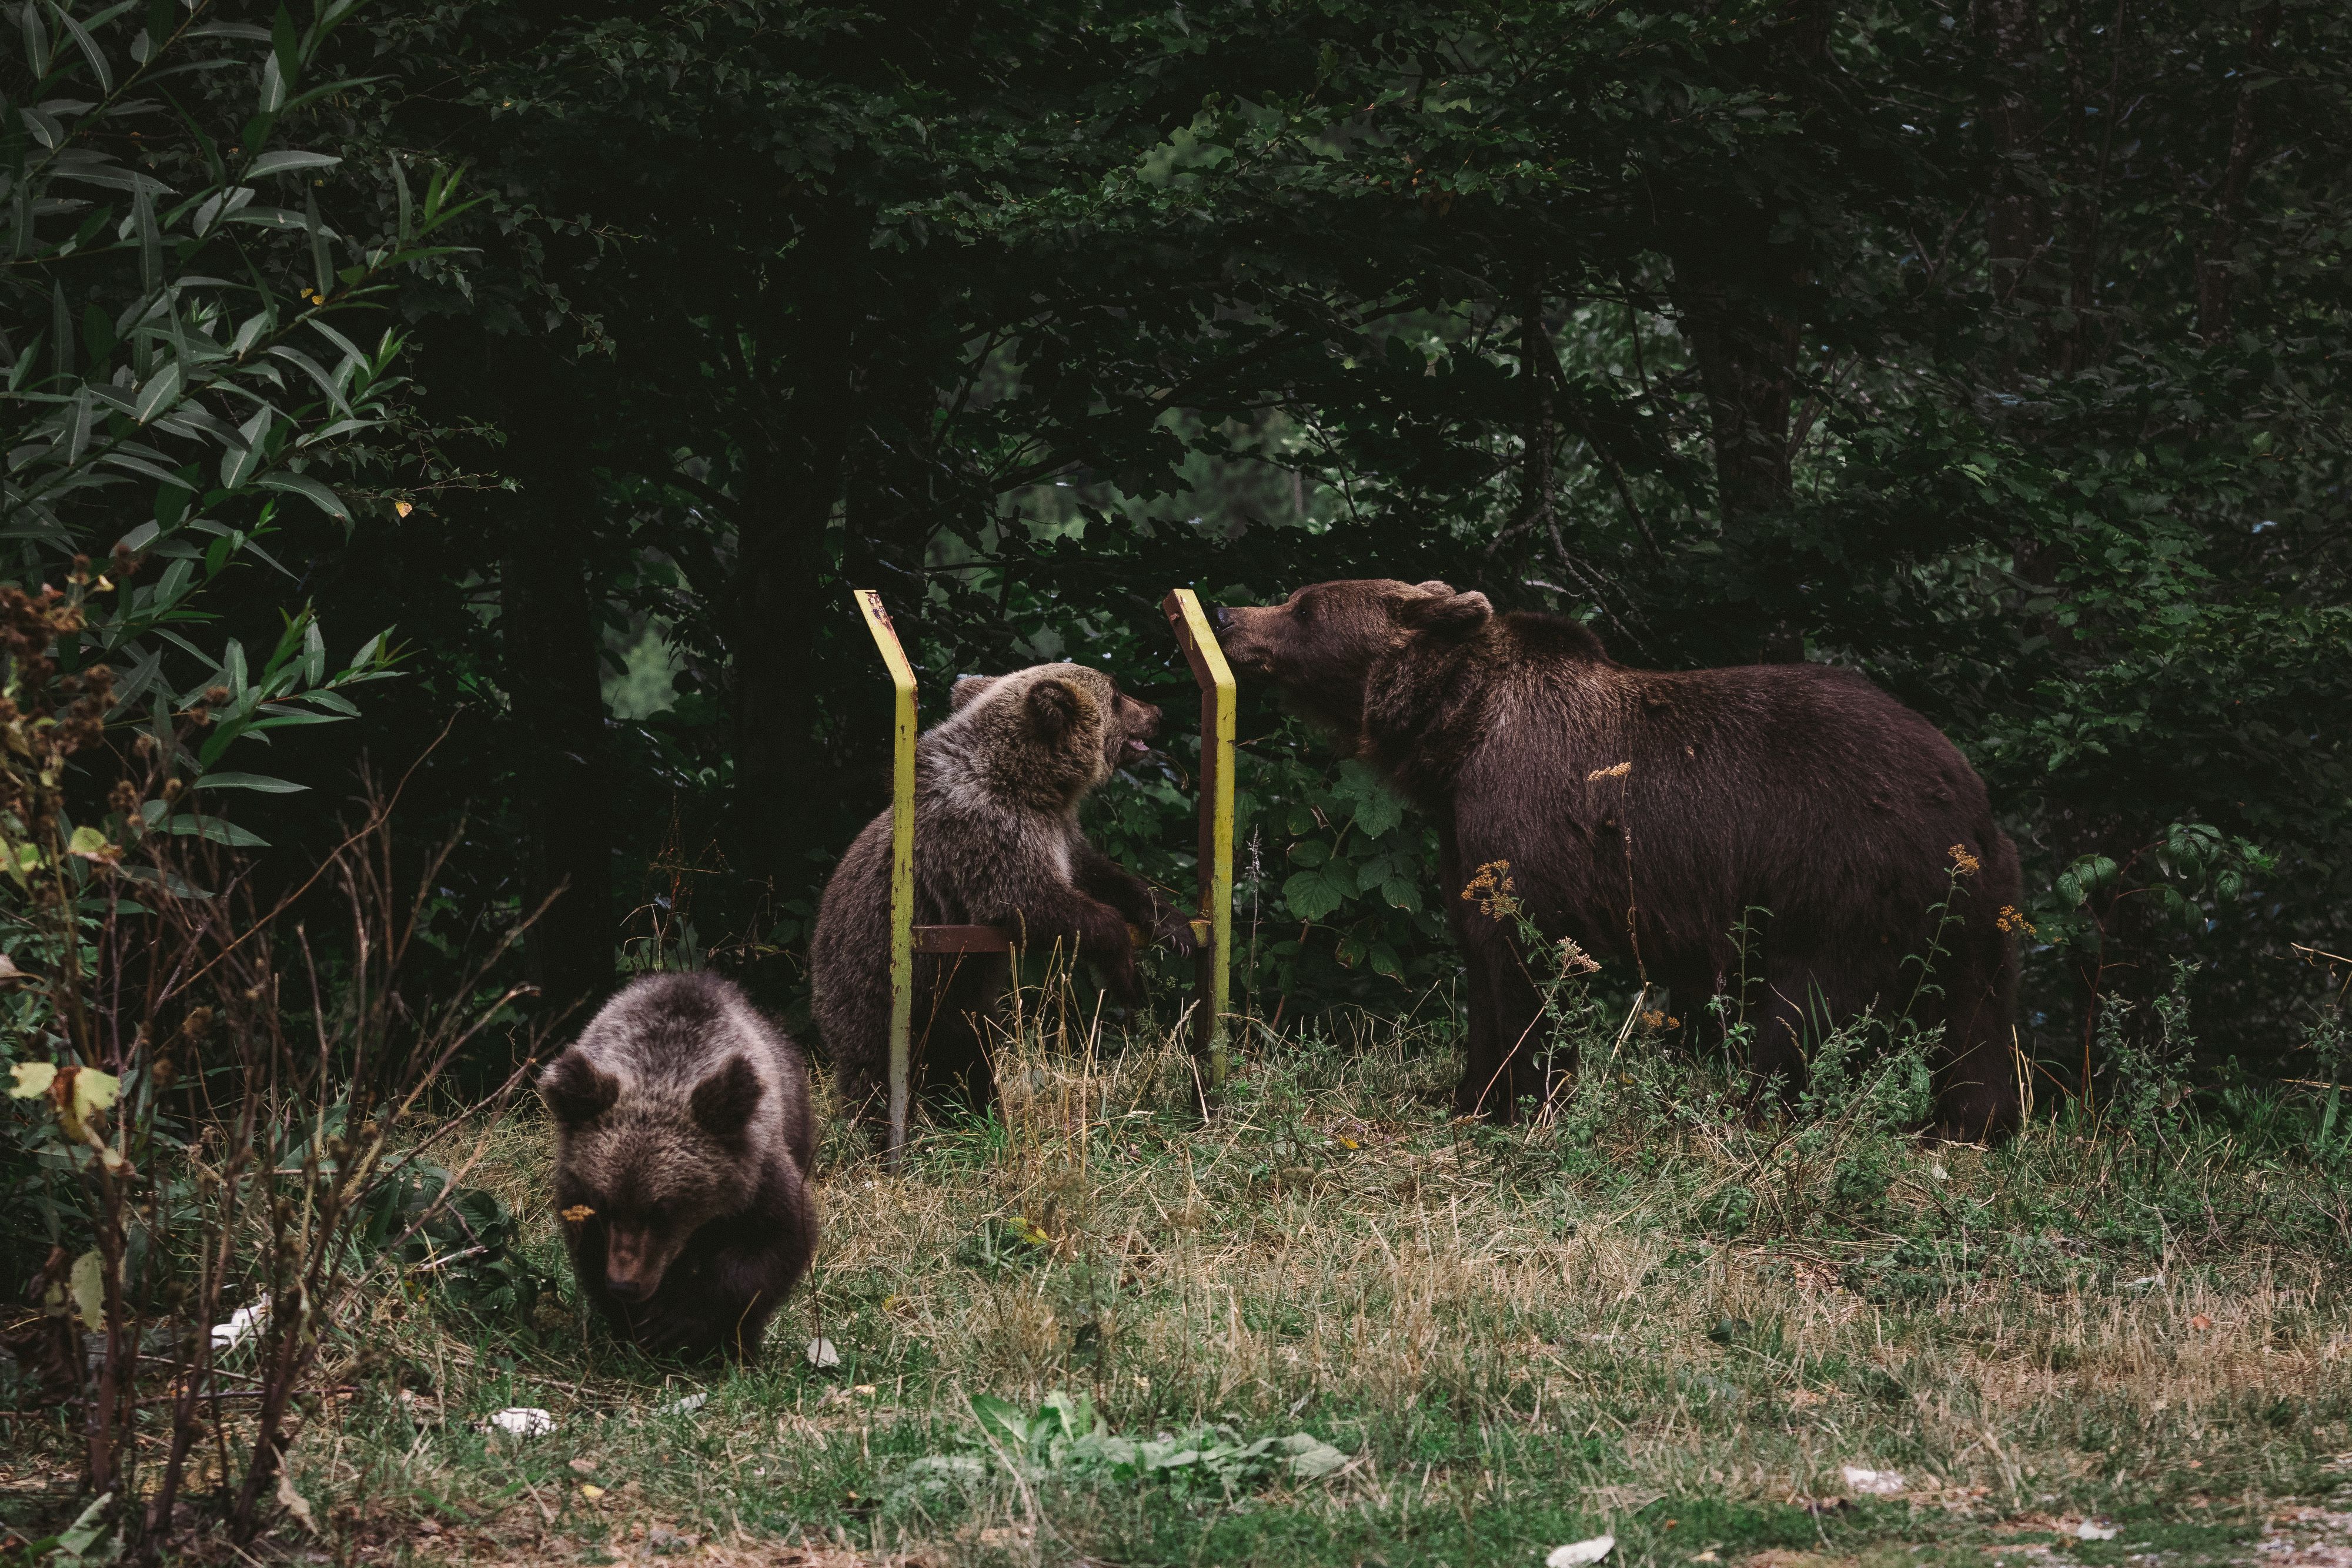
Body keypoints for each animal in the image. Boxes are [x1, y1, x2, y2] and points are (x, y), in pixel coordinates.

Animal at [536, 972, 818, 1362]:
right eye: (606, 1204)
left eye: (663, 1211)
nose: (624, 1284)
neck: (663, 1073)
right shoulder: (577, 1189)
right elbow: (589, 1253)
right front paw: (635, 1328)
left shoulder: (758, 1174)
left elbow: (774, 1244)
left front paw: (680, 1323)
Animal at [811, 662, 1196, 1126]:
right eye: (1118, 695)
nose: (1158, 713)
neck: (1033, 784)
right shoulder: (987, 834)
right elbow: (1033, 904)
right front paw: (1128, 976)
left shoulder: (1060, 835)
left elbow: (1100, 874)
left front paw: (1175, 926)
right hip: (871, 985)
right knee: (873, 1073)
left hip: (957, 1001)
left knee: (966, 1057)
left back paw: (976, 1115)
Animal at [1213, 578, 2022, 1141]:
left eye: (1305, 607)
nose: (1226, 615)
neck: (1457, 736)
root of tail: (1971, 796)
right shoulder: (1463, 837)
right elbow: (1481, 952)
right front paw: (1473, 1094)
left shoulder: (1528, 819)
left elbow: (1527, 962)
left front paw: (1526, 1097)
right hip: (1968, 911)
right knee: (1975, 1018)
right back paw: (1967, 1124)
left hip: (1843, 872)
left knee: (1804, 1008)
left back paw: (1750, 1111)